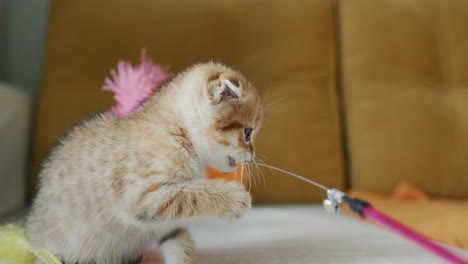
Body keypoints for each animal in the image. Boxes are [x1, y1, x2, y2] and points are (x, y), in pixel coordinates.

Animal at [26, 62, 264, 264]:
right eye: (247, 133)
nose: (252, 155)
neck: (179, 130)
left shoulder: (167, 223)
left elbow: (179, 244)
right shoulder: (142, 195)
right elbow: (193, 194)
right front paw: (235, 199)